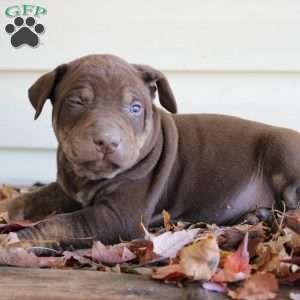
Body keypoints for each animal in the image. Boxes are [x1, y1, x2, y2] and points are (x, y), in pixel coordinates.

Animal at [5, 54, 300, 246]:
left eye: (135, 108)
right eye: (77, 102)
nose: (107, 142)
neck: (86, 178)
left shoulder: (118, 217)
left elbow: (59, 223)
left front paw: (12, 241)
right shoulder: (68, 190)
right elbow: (31, 198)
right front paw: (8, 208)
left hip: (282, 149)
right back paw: (257, 214)